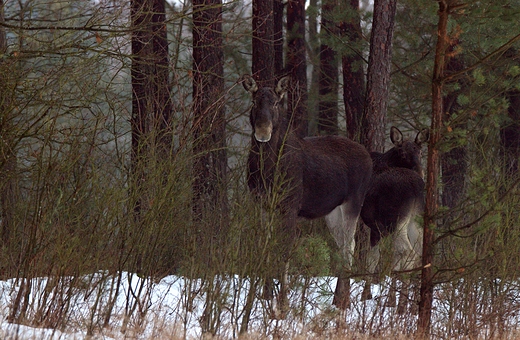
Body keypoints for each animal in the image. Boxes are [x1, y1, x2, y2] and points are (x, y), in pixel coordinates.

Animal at [242, 75, 372, 310]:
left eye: (276, 103)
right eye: (255, 101)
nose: (263, 132)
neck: (267, 171)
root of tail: (370, 157)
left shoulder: (290, 206)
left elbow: (284, 251)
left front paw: (283, 302)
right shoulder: (262, 205)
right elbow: (265, 247)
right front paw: (265, 295)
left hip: (354, 202)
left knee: (349, 247)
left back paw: (343, 300)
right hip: (332, 211)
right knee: (343, 246)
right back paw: (339, 299)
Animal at [360, 125, 428, 314]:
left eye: (420, 151)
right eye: (402, 153)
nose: (421, 172)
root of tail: (416, 187)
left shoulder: (375, 226)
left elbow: (373, 259)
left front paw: (366, 295)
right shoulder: (379, 228)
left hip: (395, 222)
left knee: (408, 253)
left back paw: (401, 306)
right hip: (415, 221)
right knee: (420, 254)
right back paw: (412, 306)